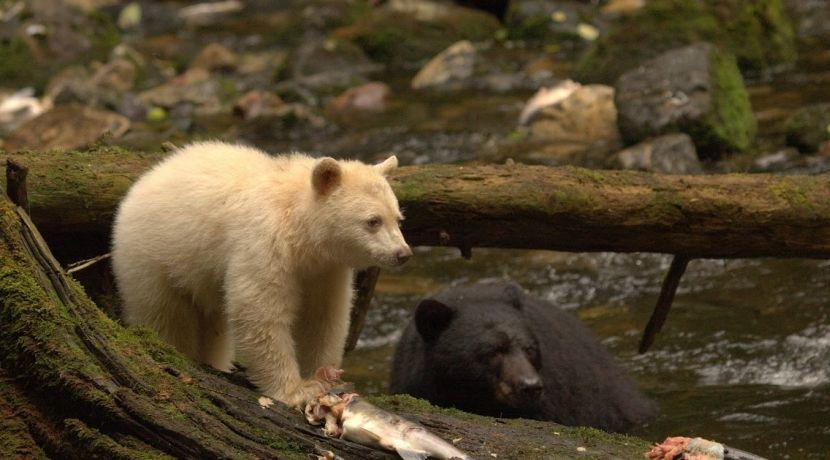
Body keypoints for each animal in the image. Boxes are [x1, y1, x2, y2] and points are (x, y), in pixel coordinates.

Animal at [112, 141, 412, 408]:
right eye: (372, 221)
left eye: (398, 218)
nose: (403, 254)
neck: (299, 226)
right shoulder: (264, 244)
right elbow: (259, 311)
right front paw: (297, 391)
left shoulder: (325, 269)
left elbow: (323, 316)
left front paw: (327, 375)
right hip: (154, 259)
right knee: (166, 316)